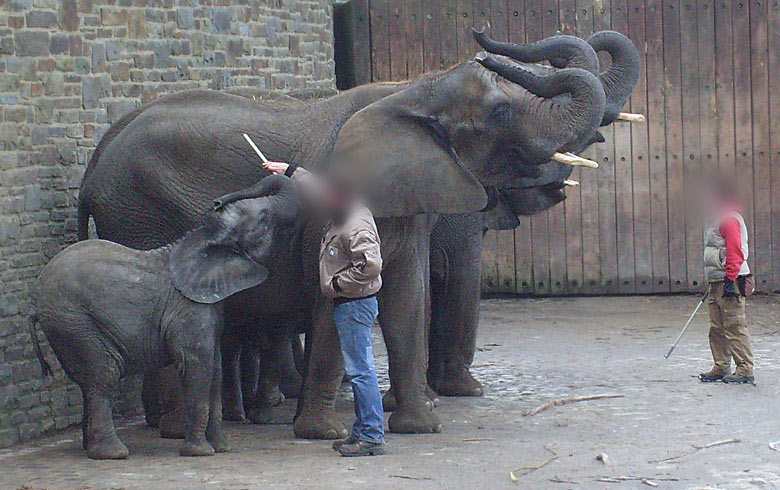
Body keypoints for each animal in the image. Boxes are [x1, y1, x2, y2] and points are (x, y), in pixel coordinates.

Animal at [30, 176, 298, 460]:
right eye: (264, 219)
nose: (217, 201)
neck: (197, 239)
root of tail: (35, 303)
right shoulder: (188, 309)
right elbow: (197, 366)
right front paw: (199, 452)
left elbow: (214, 369)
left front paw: (221, 448)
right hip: (74, 322)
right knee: (104, 375)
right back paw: (113, 453)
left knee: (89, 383)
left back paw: (90, 447)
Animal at [79, 36, 608, 438]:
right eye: (499, 112)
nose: (484, 51)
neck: (410, 91)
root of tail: (97, 159)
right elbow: (337, 297)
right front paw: (322, 434)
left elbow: (406, 297)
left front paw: (420, 426)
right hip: (138, 215)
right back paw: (176, 430)